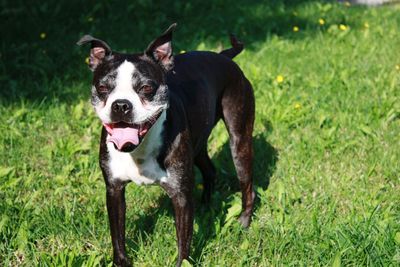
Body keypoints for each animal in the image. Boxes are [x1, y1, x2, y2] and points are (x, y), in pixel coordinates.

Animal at [76, 24, 255, 266]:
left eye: (146, 87)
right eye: (103, 87)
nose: (121, 105)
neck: (139, 149)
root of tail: (223, 56)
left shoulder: (180, 196)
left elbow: (183, 244)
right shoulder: (114, 190)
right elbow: (117, 236)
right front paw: (121, 262)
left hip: (239, 140)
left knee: (247, 183)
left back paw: (243, 221)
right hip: (197, 144)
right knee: (209, 169)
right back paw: (206, 207)